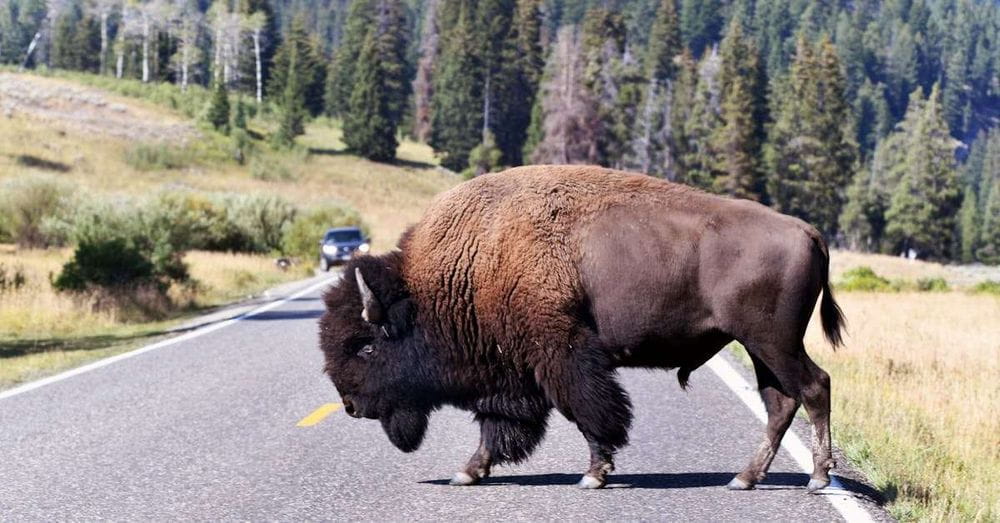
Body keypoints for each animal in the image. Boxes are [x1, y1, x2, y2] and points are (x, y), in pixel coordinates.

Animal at [318, 166, 844, 494]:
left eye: (365, 346)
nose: (350, 406)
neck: (465, 267)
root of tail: (806, 231)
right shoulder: (511, 374)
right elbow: (498, 424)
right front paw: (469, 472)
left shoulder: (561, 354)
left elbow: (590, 412)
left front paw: (594, 475)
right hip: (758, 346)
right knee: (781, 402)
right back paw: (744, 478)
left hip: (772, 342)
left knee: (814, 386)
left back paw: (817, 478)